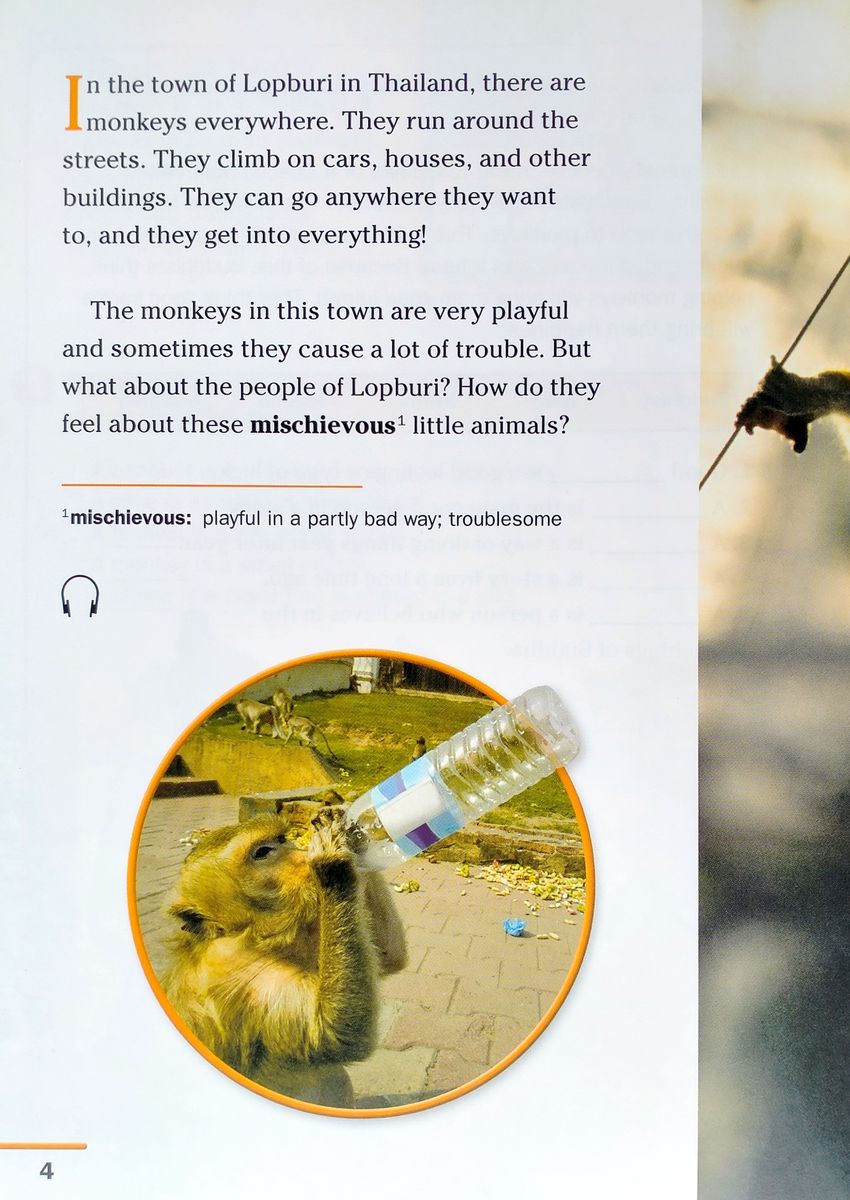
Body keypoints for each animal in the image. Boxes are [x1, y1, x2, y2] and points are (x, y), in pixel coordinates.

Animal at [163, 807, 406, 1107]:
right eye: (263, 852)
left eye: (281, 841)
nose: (301, 855)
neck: (249, 934)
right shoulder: (235, 967)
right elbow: (332, 1033)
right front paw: (331, 861)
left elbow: (387, 954)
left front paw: (354, 832)